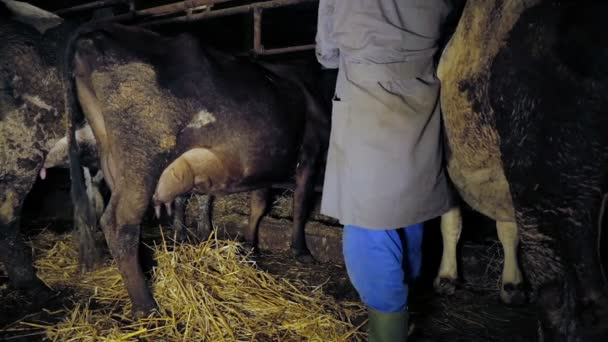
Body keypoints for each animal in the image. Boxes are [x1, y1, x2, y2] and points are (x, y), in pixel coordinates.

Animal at [64, 22, 332, 316]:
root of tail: (94, 33)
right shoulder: (311, 153)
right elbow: (300, 205)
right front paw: (301, 250)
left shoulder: (264, 165)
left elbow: (258, 206)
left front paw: (252, 248)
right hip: (142, 159)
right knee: (119, 224)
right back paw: (147, 307)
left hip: (114, 161)